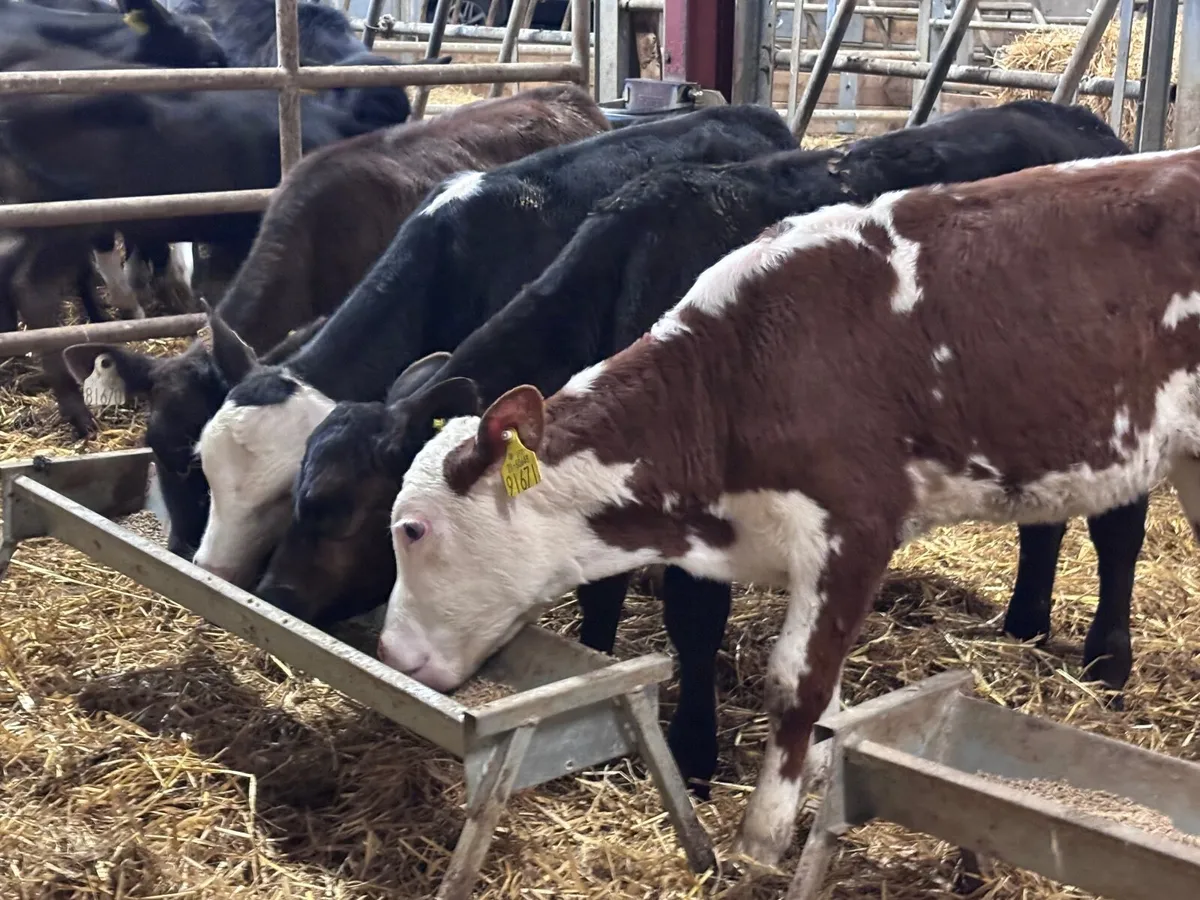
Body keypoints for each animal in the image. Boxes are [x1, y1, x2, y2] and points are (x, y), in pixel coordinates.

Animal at [257, 99, 1142, 796]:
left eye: (343, 509)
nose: (274, 594)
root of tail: (1084, 122)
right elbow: (600, 589)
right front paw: (595, 667)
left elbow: (691, 616)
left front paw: (691, 752)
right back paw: (1025, 623)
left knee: (1119, 529)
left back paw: (1108, 660)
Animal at [375, 145, 1200, 869]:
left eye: (411, 529)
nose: (392, 653)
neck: (734, 375)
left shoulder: (855, 525)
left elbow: (797, 688)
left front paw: (763, 839)